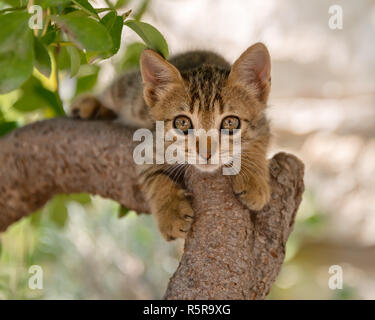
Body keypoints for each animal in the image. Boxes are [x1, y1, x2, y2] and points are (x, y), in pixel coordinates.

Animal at [70, 43, 272, 241]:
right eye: (182, 123)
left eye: (230, 123)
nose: (206, 153)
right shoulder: (150, 142)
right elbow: (153, 176)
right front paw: (171, 213)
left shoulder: (263, 124)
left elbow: (257, 144)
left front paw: (253, 180)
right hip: (132, 98)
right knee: (114, 91)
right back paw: (91, 104)